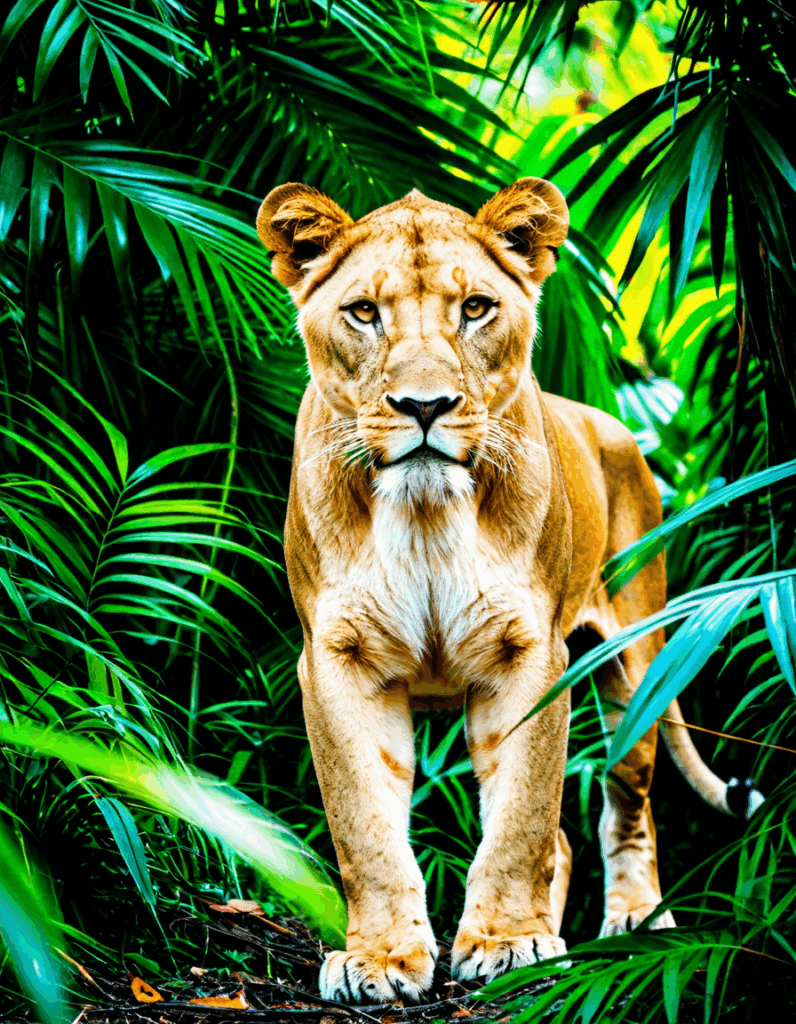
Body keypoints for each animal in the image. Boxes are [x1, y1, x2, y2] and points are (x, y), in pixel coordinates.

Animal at [256, 178, 762, 1005]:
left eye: (475, 308)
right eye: (363, 312)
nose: (424, 406)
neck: (425, 514)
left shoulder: (528, 654)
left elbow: (522, 815)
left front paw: (507, 943)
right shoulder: (337, 660)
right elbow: (365, 824)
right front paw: (381, 958)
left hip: (638, 659)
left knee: (626, 801)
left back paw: (632, 924)